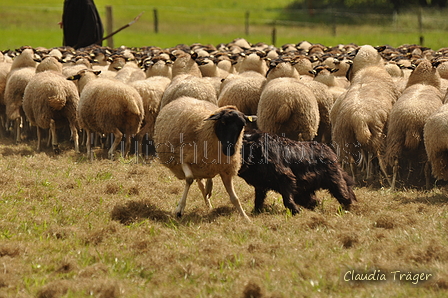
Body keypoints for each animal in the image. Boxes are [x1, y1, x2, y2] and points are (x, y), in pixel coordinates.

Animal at [384, 59, 444, 190]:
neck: (423, 83)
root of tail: (411, 120)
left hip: (395, 137)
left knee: (395, 163)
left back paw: (393, 186)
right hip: (424, 144)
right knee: (426, 166)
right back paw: (427, 186)